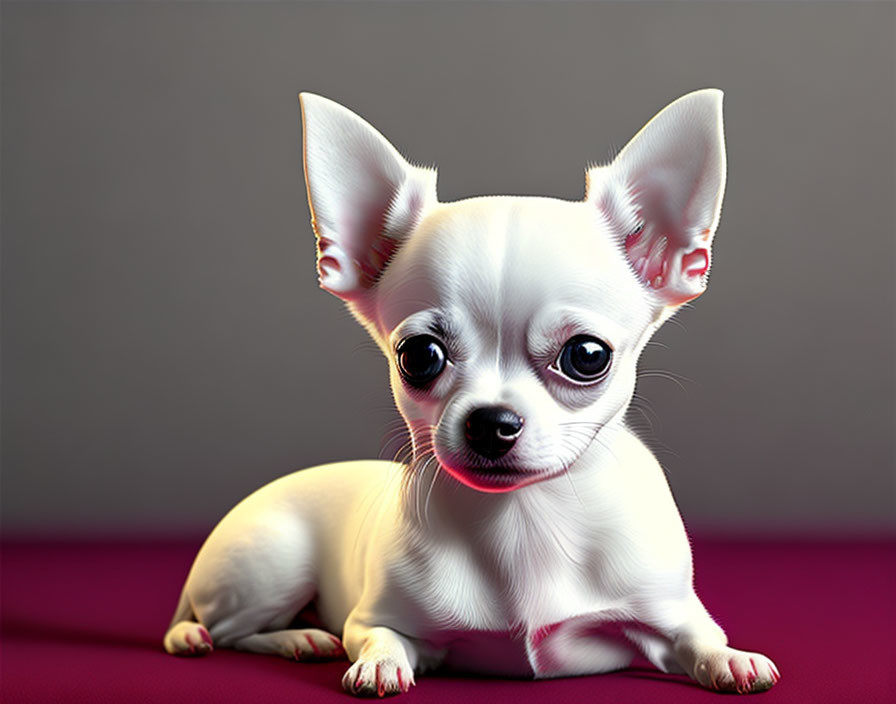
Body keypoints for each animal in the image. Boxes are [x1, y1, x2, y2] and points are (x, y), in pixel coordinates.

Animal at [164, 91, 780, 696]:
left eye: (587, 356)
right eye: (418, 356)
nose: (491, 421)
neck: (523, 521)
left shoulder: (673, 614)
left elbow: (701, 638)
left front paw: (732, 660)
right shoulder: (372, 619)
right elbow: (378, 637)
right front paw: (379, 664)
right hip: (271, 567)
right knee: (225, 630)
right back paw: (293, 637)